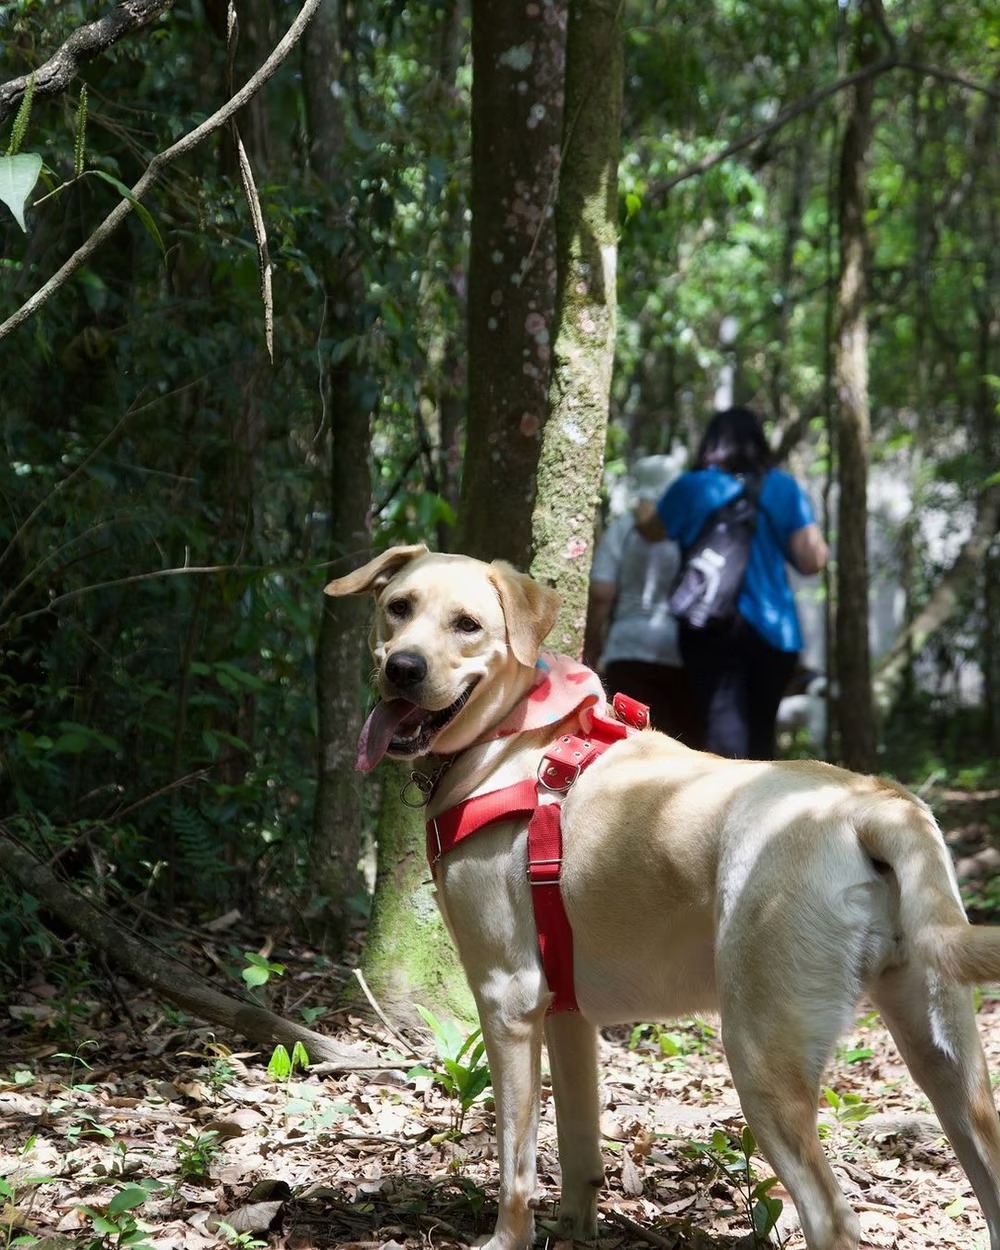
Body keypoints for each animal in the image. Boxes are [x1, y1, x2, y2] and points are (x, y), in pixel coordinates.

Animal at [327, 545, 1000, 1250]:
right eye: (398, 607)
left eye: (467, 625)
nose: (403, 668)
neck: (511, 740)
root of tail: (870, 802)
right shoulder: (566, 1015)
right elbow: (578, 1148)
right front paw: (576, 1229)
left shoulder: (507, 1001)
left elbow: (516, 1164)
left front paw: (509, 1238)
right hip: (946, 1058)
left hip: (761, 1052)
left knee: (832, 1220)